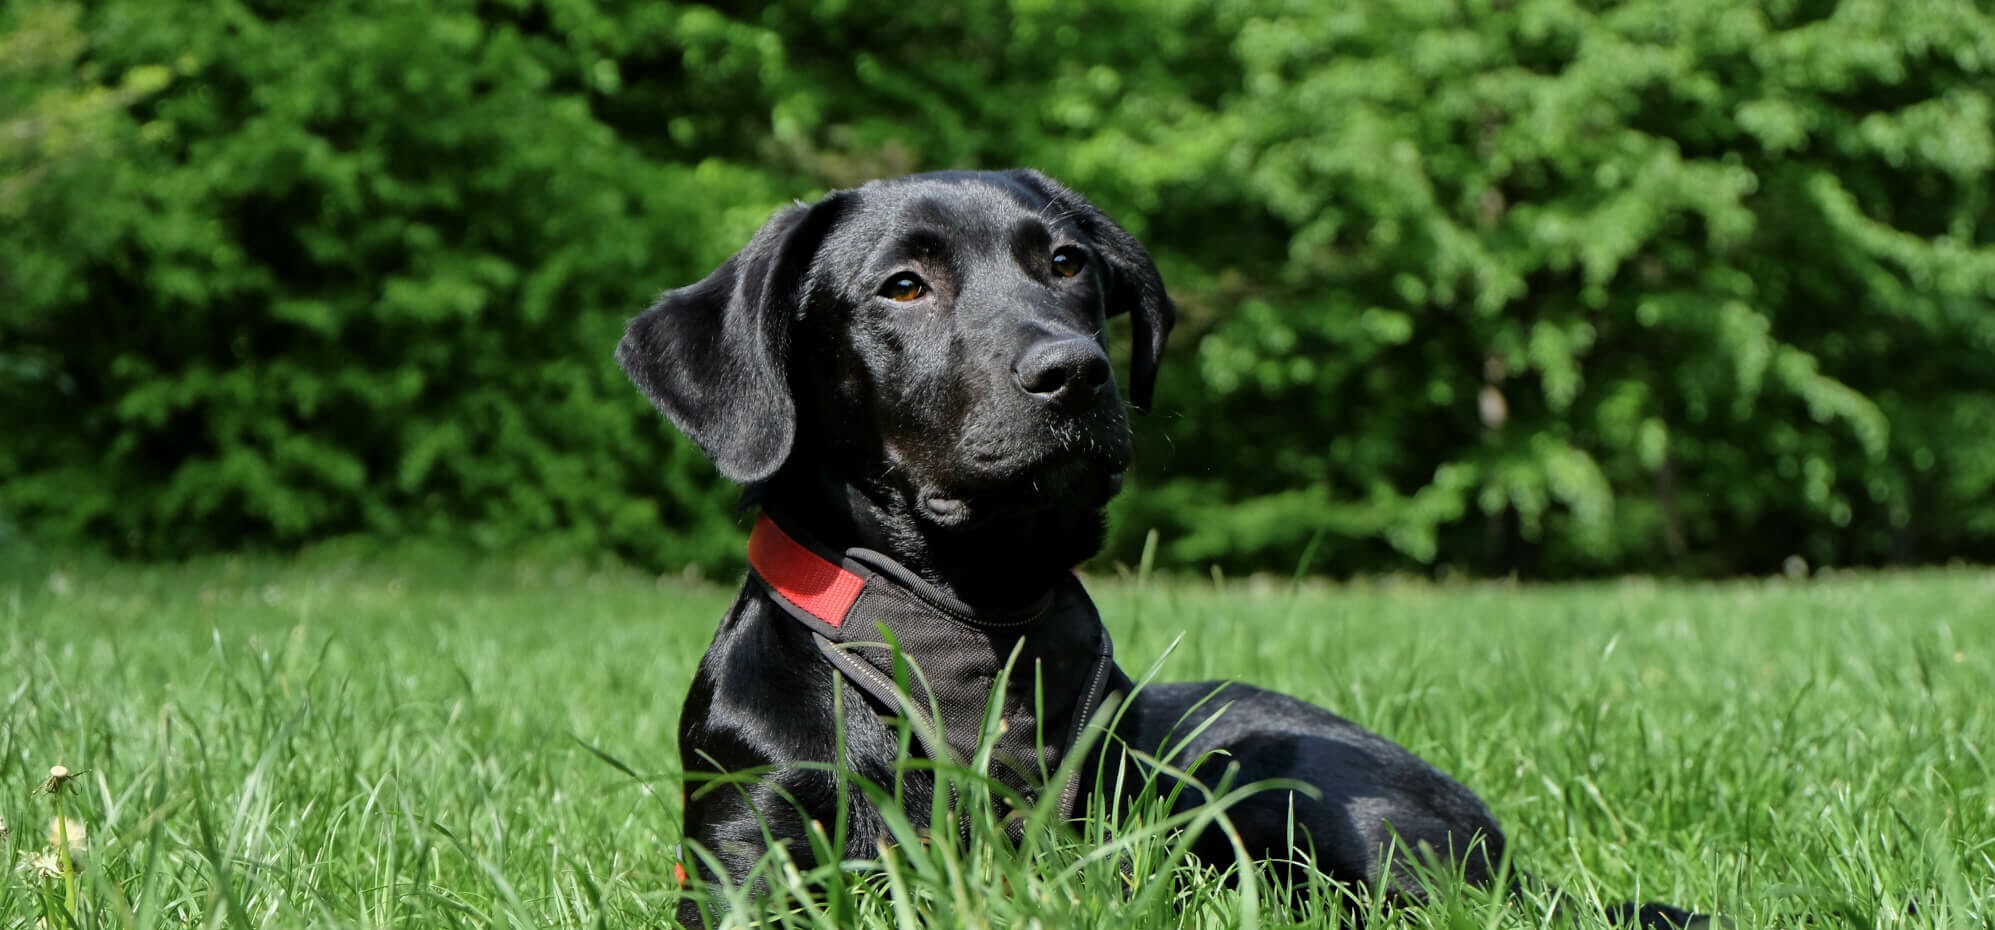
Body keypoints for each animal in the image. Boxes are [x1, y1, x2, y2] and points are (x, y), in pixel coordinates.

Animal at [614, 166, 1707, 922]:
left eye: (1067, 264)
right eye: (903, 286)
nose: (1074, 371)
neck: (966, 621)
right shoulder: (748, 844)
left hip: (1282, 778)